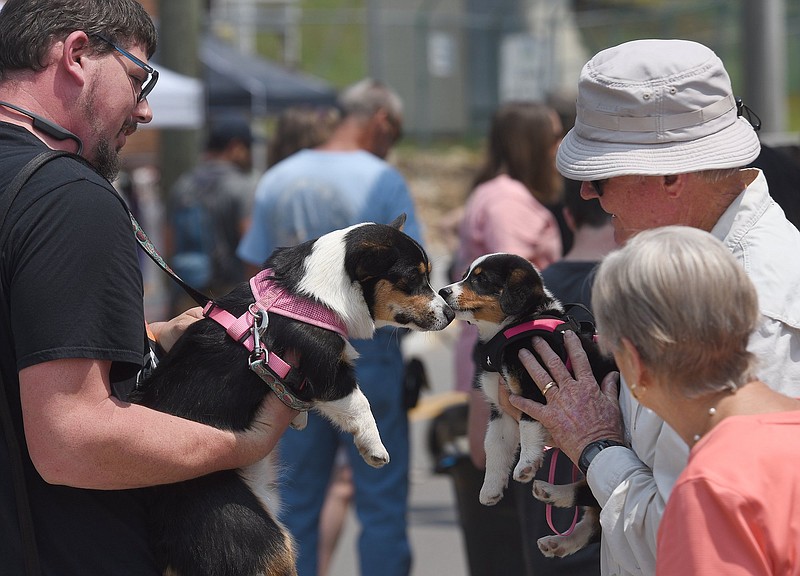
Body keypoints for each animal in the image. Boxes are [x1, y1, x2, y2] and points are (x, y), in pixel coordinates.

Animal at [132, 215, 456, 576]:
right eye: (413, 279)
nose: (452, 314)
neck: (316, 294)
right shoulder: (329, 372)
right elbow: (361, 404)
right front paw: (374, 447)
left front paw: (298, 416)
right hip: (259, 541)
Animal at [438, 253, 612, 560]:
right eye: (465, 275)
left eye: (482, 279)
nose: (442, 291)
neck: (511, 328)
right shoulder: (500, 411)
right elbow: (494, 448)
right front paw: (490, 488)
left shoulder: (534, 389)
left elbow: (529, 426)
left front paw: (527, 465)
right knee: (593, 519)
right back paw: (557, 533)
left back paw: (552, 494)